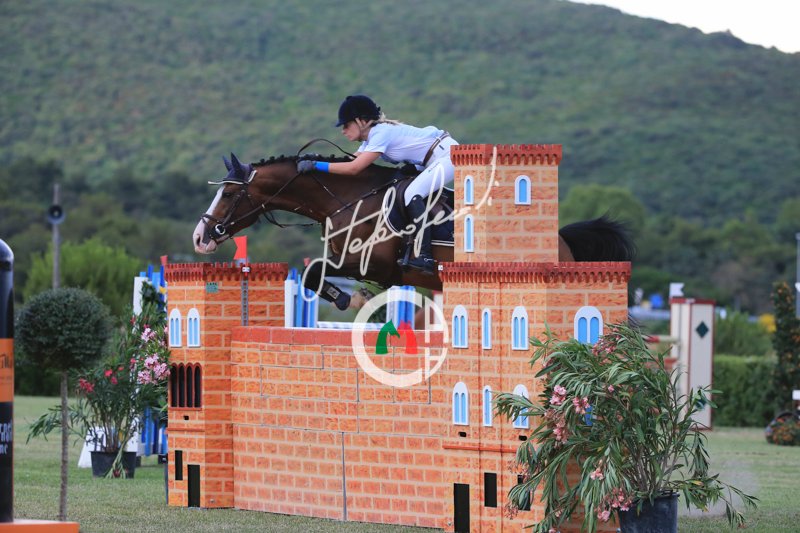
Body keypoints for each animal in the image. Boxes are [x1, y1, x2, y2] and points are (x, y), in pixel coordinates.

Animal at [193, 152, 634, 310]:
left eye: (229, 193)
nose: (200, 237)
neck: (345, 198)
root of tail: (561, 240)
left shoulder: (370, 263)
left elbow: (316, 272)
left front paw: (350, 300)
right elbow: (313, 273)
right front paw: (355, 299)